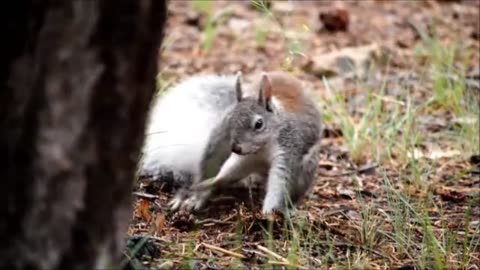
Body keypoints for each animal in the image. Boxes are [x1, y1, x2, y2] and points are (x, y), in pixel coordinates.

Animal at [141, 70, 324, 214]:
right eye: (231, 120)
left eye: (259, 124)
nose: (236, 147)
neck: (262, 148)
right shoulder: (237, 150)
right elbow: (220, 170)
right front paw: (199, 192)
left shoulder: (288, 149)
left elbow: (280, 183)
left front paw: (268, 214)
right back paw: (197, 190)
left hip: (306, 165)